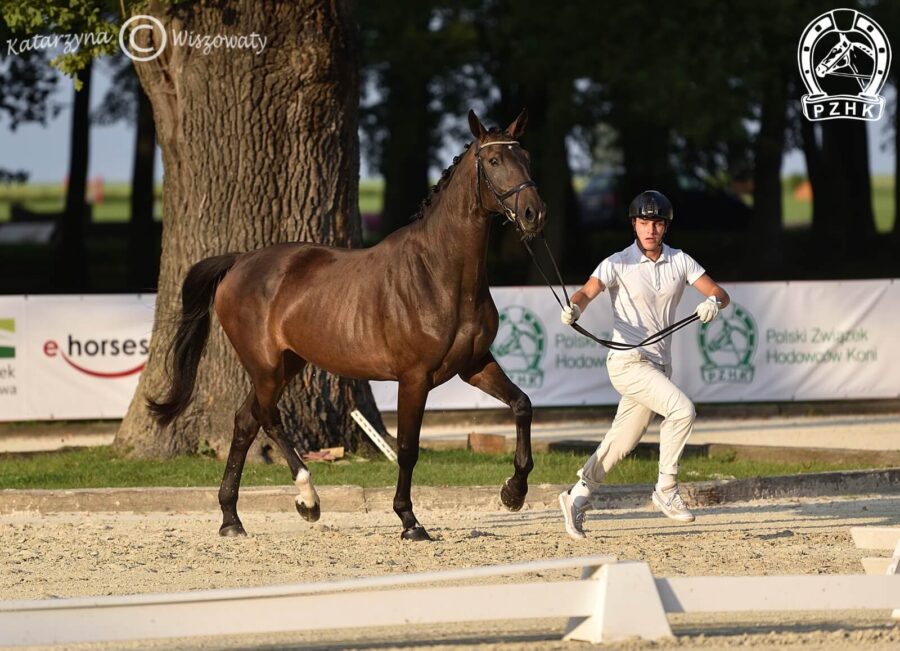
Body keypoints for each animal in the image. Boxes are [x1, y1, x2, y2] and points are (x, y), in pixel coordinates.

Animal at [148, 109, 544, 544]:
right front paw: (410, 522)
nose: (534, 214)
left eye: (526, 157)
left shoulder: (473, 365)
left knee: (245, 422)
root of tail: (239, 262)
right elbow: (408, 448)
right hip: (266, 366)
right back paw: (308, 500)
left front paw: (513, 492)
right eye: (494, 161)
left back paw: (231, 519)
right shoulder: (414, 378)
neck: (440, 274)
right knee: (268, 420)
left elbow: (522, 405)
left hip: (288, 364)